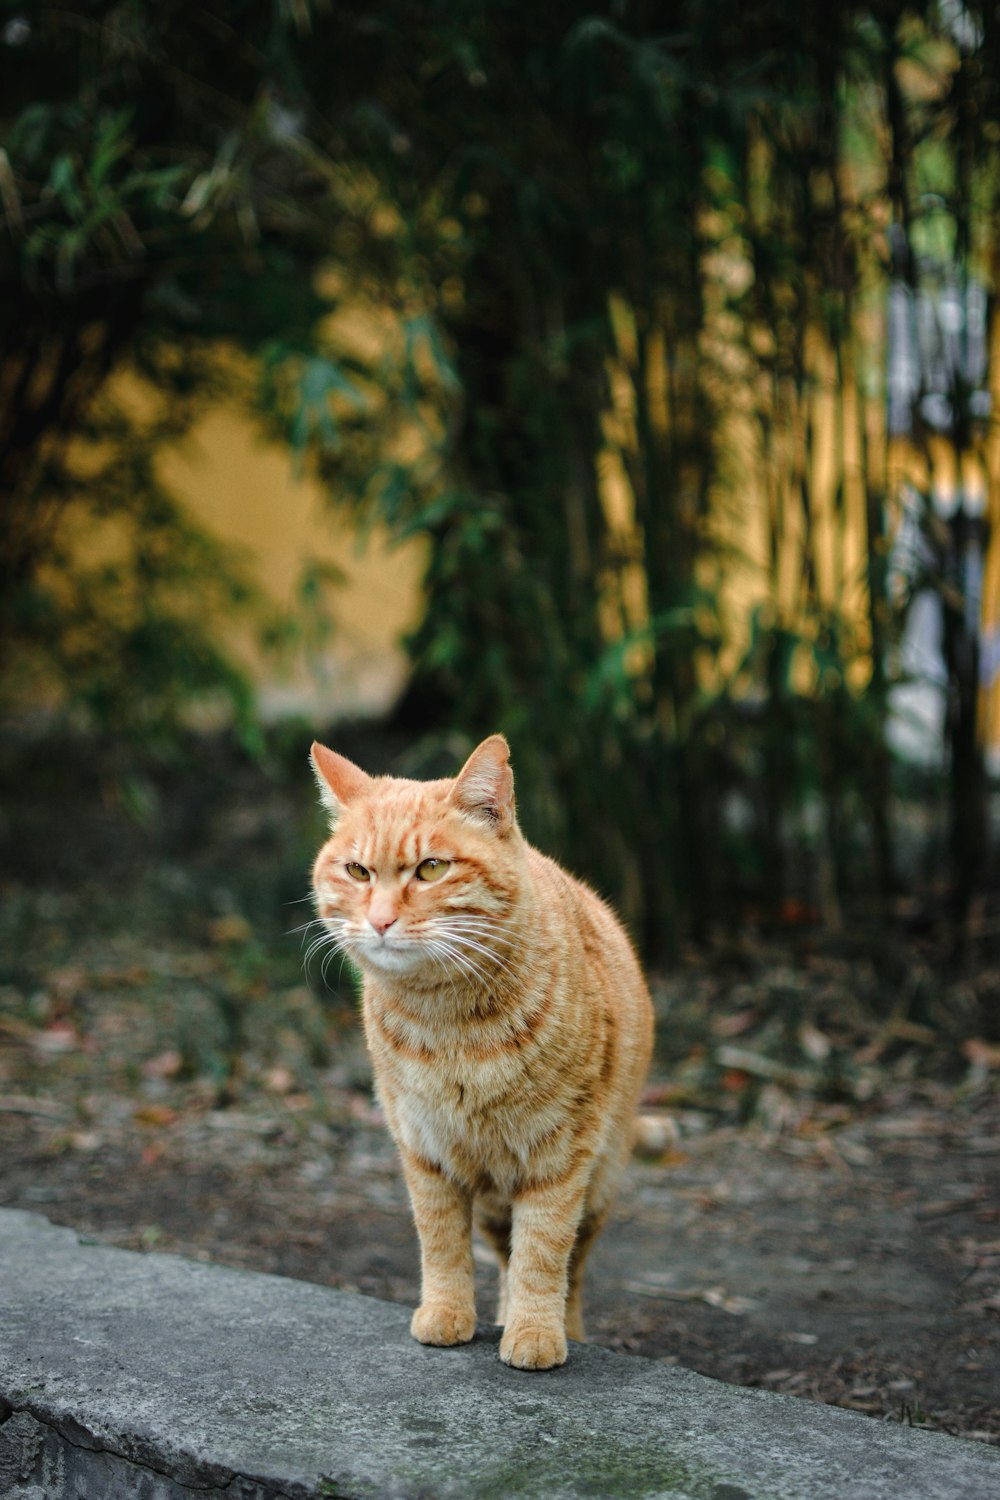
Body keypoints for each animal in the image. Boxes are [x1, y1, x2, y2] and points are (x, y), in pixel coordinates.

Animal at [308, 732, 653, 1368]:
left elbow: (544, 1253)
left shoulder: (558, 1159)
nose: (380, 921)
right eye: (358, 871)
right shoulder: (425, 1152)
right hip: (495, 1201)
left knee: (571, 1265)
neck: (447, 1024)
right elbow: (442, 1243)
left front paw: (537, 1332)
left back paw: (562, 1326)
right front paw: (447, 1313)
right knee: (502, 1253)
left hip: (599, 1181)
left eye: (431, 869)